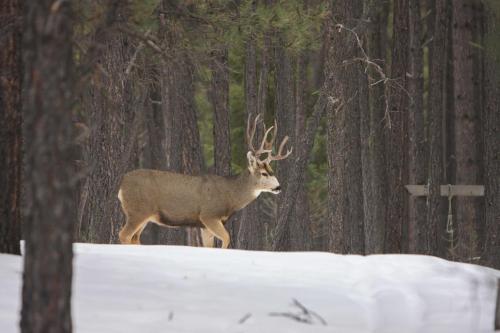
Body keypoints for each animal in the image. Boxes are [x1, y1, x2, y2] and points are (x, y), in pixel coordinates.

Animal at [117, 114, 292, 246]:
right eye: (263, 173)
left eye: (272, 171)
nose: (279, 187)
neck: (230, 195)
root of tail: (121, 186)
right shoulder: (209, 215)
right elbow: (227, 238)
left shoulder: (205, 226)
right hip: (138, 210)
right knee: (124, 235)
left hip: (144, 215)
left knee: (134, 238)